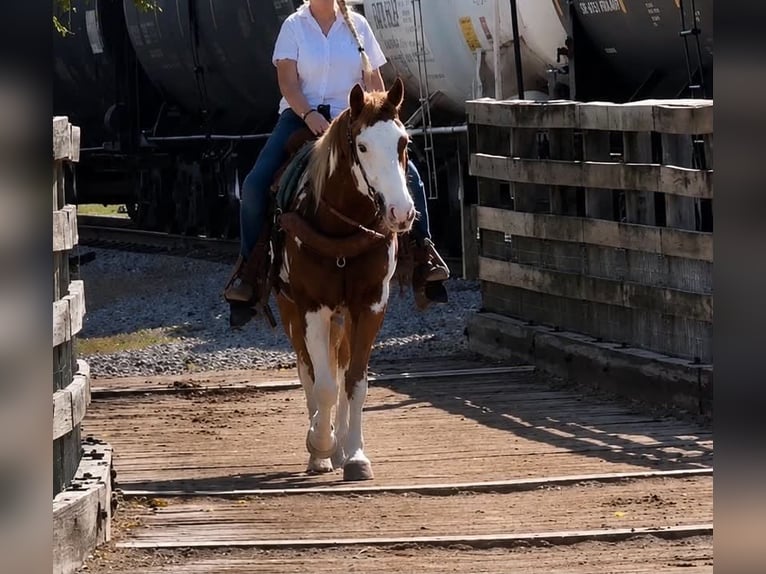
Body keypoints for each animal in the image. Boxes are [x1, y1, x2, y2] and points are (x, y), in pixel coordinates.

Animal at [271, 77, 414, 481]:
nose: (401, 212)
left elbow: (354, 381)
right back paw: (321, 451)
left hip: (343, 315)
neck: (342, 229)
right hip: (289, 307)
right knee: (308, 370)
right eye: (362, 146)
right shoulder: (311, 308)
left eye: (403, 142)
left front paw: (355, 455)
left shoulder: (370, 305)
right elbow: (323, 385)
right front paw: (320, 444)